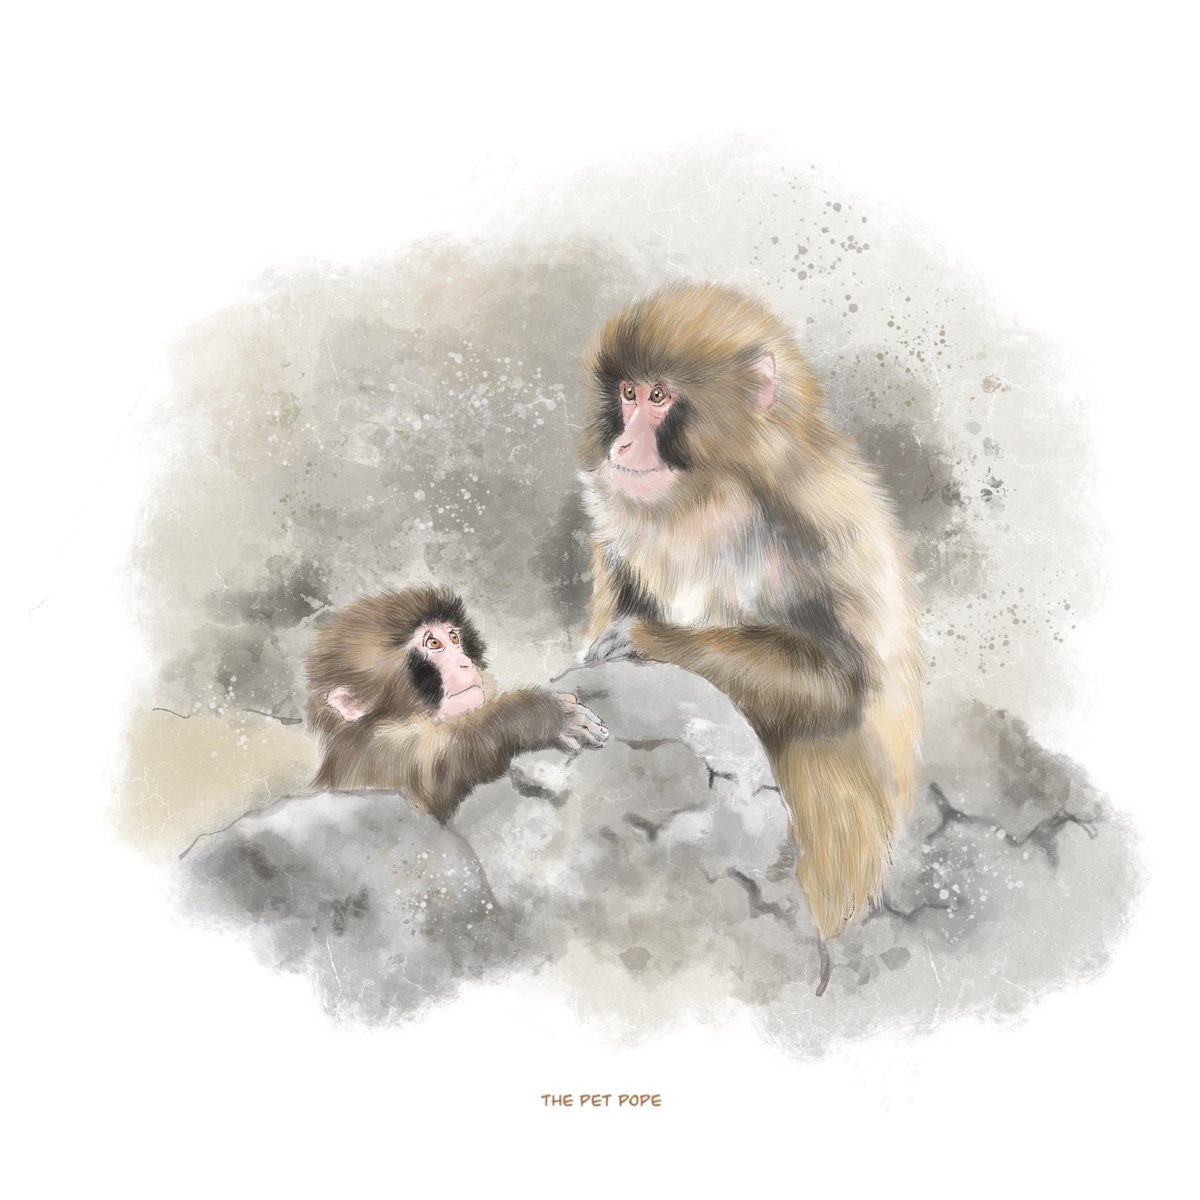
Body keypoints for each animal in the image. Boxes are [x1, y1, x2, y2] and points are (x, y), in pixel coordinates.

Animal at [306, 586, 608, 824]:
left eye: (454, 637)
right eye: (433, 643)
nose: (465, 663)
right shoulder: (389, 750)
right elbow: (436, 784)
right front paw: (543, 714)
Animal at [577, 282, 923, 995]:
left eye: (660, 397)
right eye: (626, 393)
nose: (623, 446)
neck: (709, 498)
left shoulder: (818, 528)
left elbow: (836, 687)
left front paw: (645, 637)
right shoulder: (616, 540)